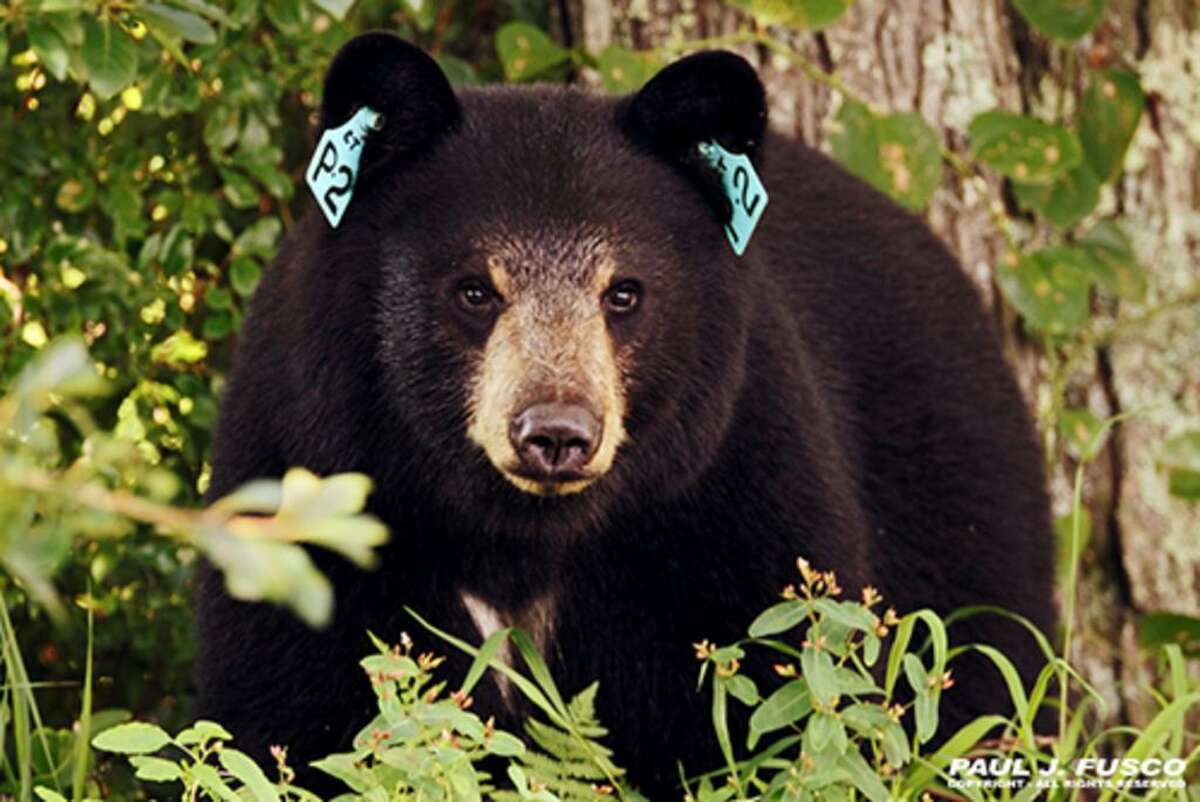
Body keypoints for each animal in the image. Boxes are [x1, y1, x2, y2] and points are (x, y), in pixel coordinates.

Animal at [194, 29, 1051, 797]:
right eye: (474, 289)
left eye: (625, 293)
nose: (556, 433)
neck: (521, 535)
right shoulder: (311, 474)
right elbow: (296, 707)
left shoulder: (729, 493)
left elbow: (781, 691)